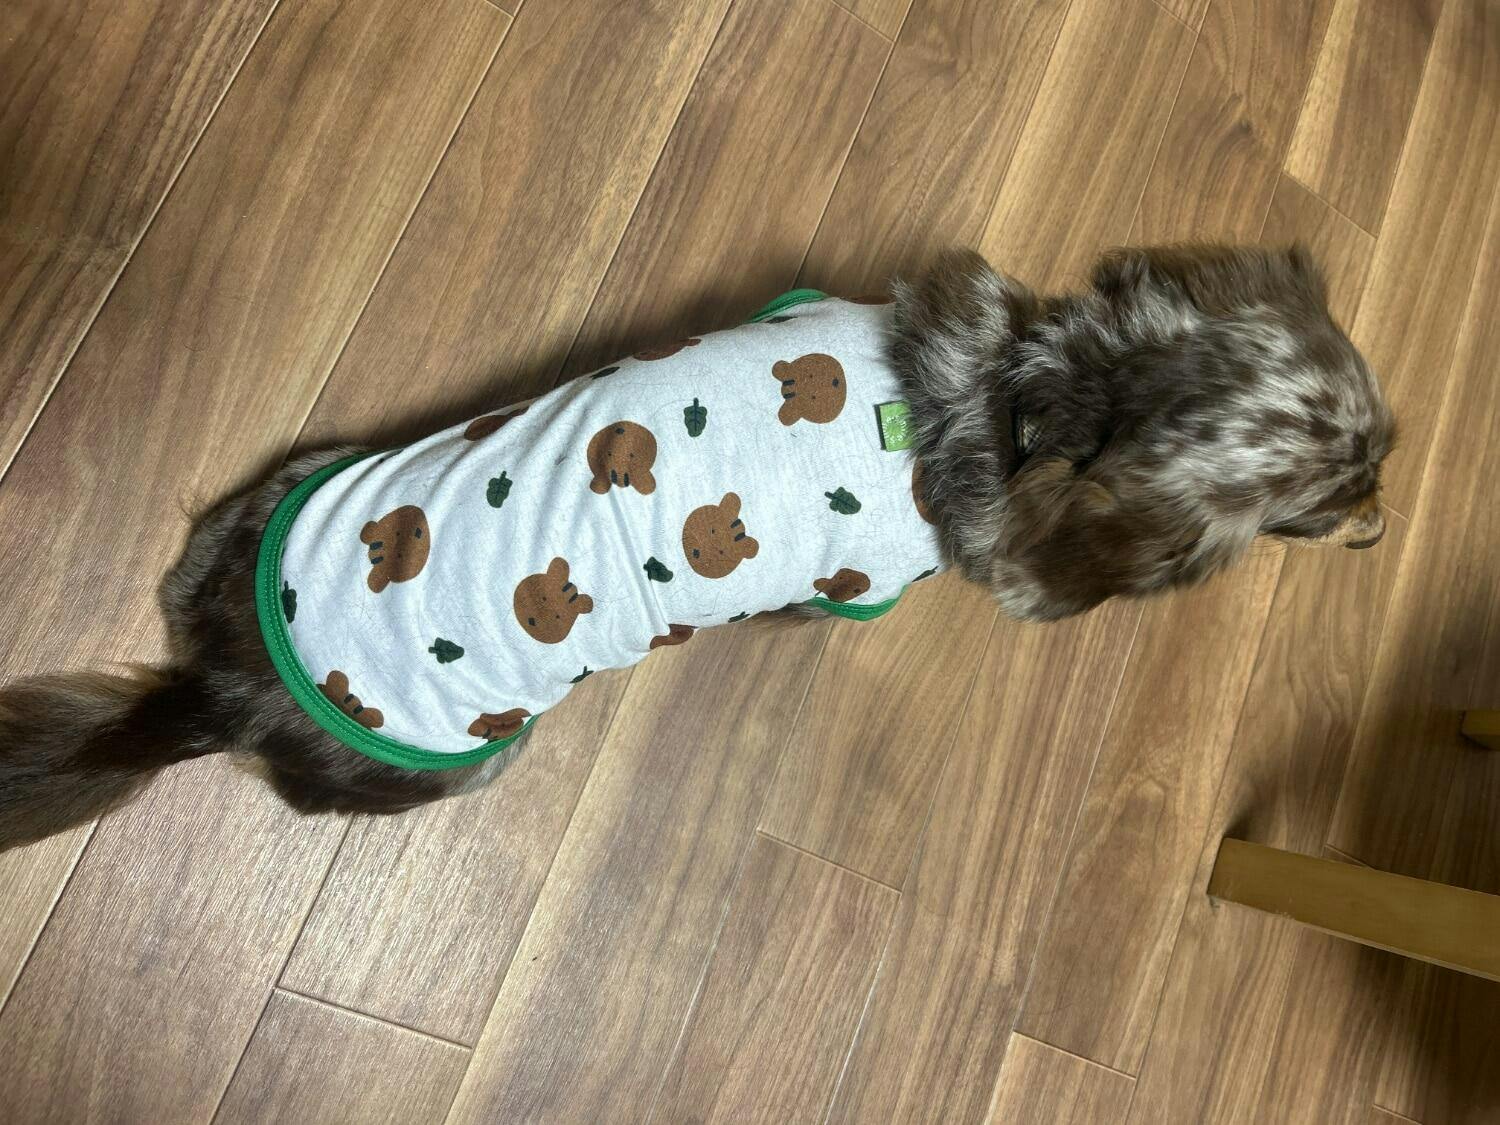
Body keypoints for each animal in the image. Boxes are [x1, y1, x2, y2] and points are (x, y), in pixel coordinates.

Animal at [0, 244, 1394, 850]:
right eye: (1322, 504)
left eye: (1375, 458)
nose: (1387, 525)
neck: (1028, 396)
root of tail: (218, 696)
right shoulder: (856, 589)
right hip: (474, 759)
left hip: (286, 479)